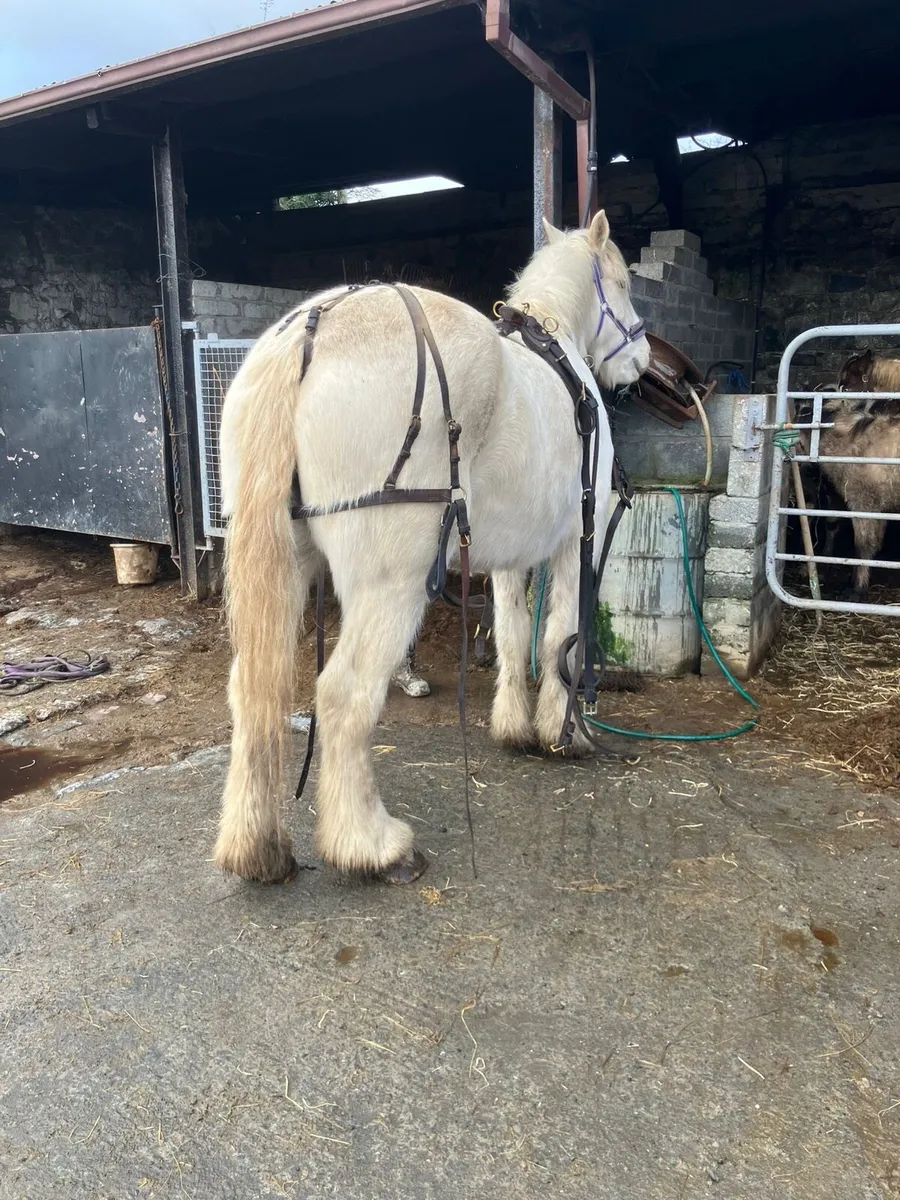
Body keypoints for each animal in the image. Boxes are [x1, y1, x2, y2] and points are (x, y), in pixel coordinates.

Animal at [214, 210, 650, 885]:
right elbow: (561, 638)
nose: (644, 359)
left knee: (252, 691)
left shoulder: (507, 556)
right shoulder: (574, 542)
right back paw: (371, 845)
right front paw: (563, 732)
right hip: (392, 582)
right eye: (625, 282)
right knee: (343, 695)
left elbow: (512, 633)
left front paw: (514, 727)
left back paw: (258, 849)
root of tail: (310, 334)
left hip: (284, 563)